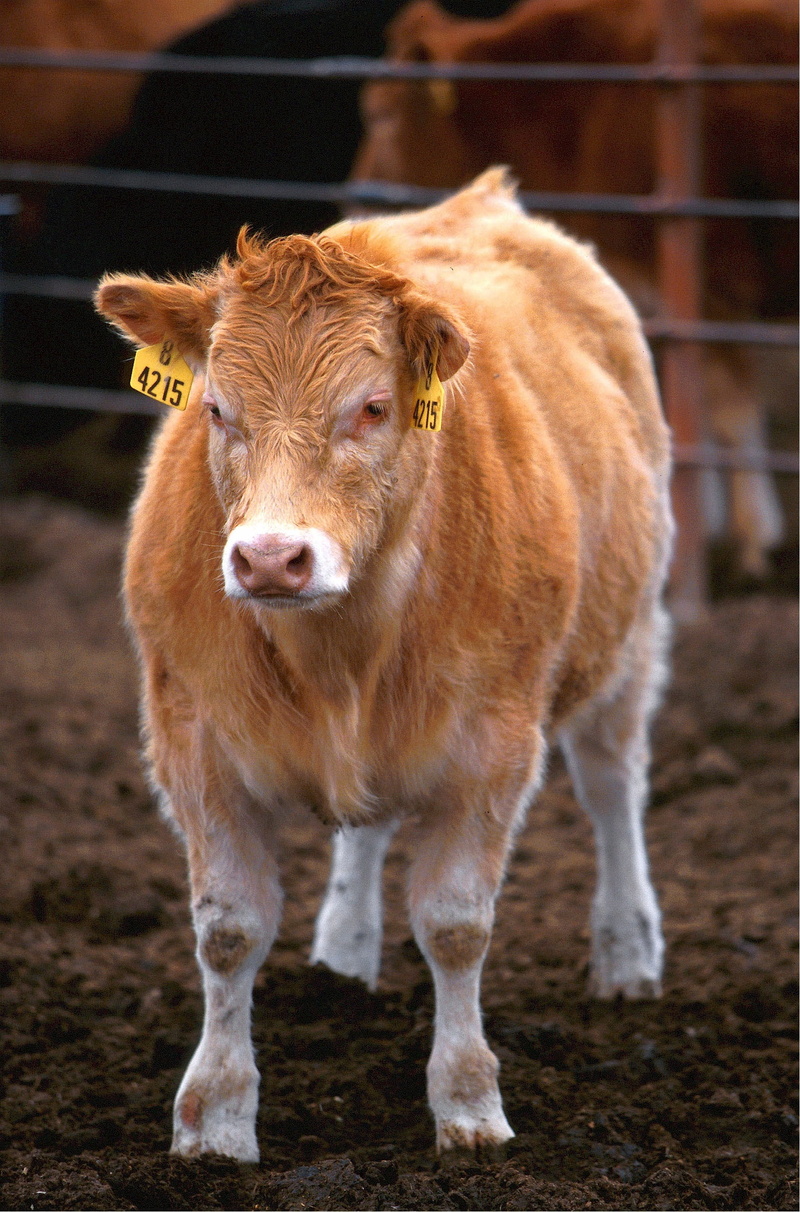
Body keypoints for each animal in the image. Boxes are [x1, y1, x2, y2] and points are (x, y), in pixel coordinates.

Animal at [95, 168, 672, 1160]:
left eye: (372, 406)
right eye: (215, 408)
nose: (271, 558)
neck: (342, 652)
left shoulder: (496, 741)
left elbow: (456, 925)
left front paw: (469, 1104)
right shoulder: (188, 732)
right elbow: (228, 931)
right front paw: (215, 1119)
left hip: (627, 642)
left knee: (612, 789)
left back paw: (629, 953)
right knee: (363, 830)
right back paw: (343, 951)